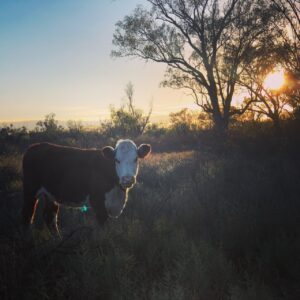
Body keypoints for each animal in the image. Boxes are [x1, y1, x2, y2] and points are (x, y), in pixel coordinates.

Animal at [21, 139, 151, 236]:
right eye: (117, 160)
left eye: (136, 159)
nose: (127, 179)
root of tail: (35, 146)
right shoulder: (98, 204)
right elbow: (103, 230)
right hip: (30, 190)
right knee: (27, 215)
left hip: (50, 194)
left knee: (49, 216)